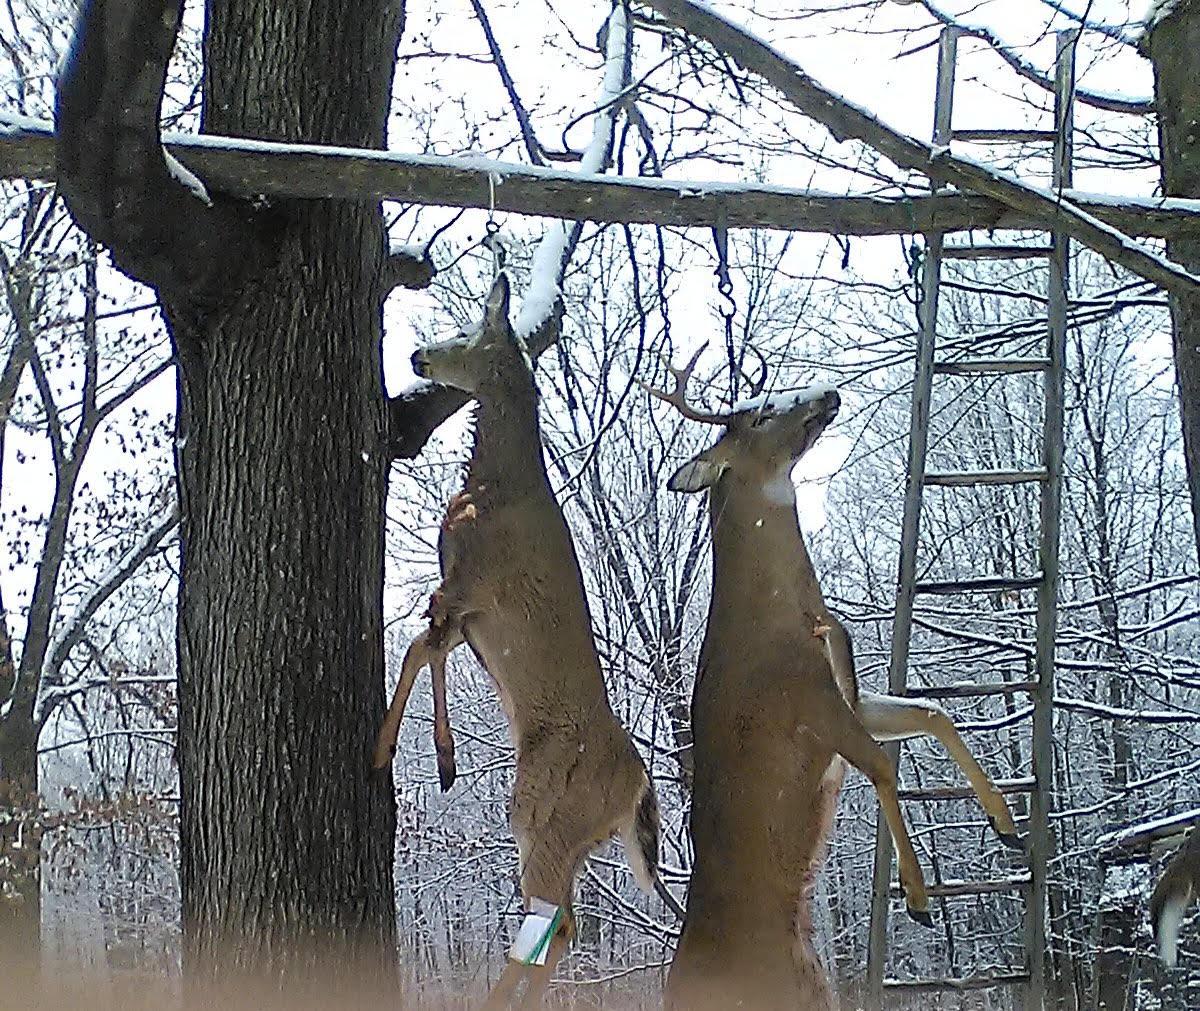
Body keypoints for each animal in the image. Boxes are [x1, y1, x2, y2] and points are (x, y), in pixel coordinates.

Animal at [373, 274, 675, 1009]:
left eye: (468, 329)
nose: (417, 353)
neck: (490, 483)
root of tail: (636, 787)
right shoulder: (465, 607)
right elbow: (431, 649)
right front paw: (444, 761)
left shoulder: (469, 580)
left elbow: (415, 646)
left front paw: (389, 749)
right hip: (569, 834)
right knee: (563, 922)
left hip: (543, 814)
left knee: (551, 920)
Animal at [641, 348, 1023, 1010]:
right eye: (760, 413)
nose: (827, 393)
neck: (788, 620)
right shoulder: (805, 706)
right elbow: (881, 765)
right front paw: (918, 897)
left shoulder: (849, 693)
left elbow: (933, 714)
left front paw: (1006, 826)